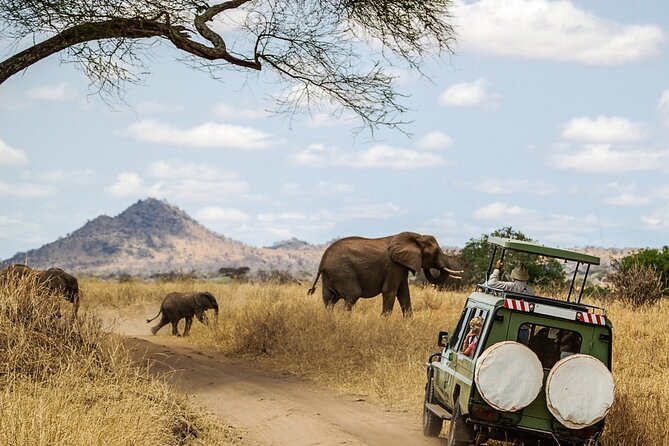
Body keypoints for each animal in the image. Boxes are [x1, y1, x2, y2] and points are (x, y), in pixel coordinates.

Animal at [307, 232, 463, 316]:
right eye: (435, 252)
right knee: (352, 295)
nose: (461, 271)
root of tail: (323, 260)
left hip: (330, 275)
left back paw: (331, 318)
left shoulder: (401, 265)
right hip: (343, 273)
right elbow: (390, 291)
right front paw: (384, 322)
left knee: (329, 299)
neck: (416, 236)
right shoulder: (393, 265)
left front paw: (408, 322)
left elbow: (404, 293)